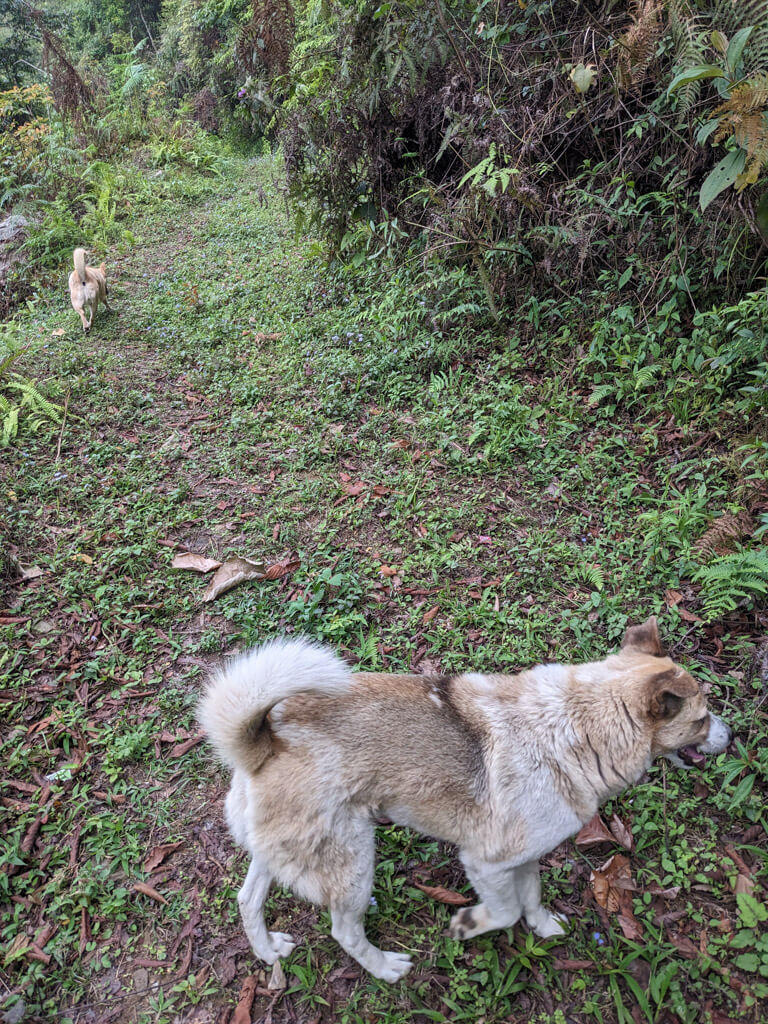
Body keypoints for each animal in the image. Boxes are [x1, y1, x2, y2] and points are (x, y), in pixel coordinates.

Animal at [198, 618, 733, 978]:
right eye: (703, 718)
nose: (732, 736)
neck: (573, 728)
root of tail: (263, 743)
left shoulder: (524, 857)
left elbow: (531, 899)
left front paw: (545, 927)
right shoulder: (485, 863)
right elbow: (506, 910)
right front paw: (469, 924)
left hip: (288, 849)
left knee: (248, 899)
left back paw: (267, 950)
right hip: (354, 859)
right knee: (343, 931)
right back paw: (384, 966)